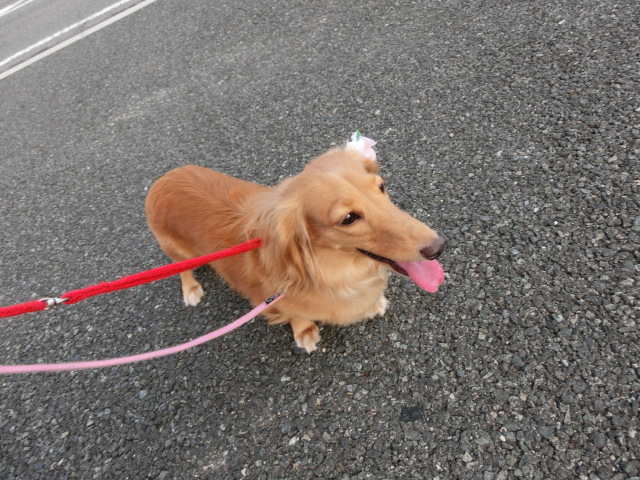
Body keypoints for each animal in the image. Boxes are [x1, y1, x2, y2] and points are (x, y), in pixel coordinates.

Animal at [145, 136, 445, 353]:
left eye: (381, 187)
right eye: (348, 218)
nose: (439, 247)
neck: (338, 271)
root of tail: (162, 179)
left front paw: (372, 305)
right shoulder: (271, 300)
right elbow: (295, 315)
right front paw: (304, 331)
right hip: (176, 249)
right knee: (182, 269)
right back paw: (191, 289)